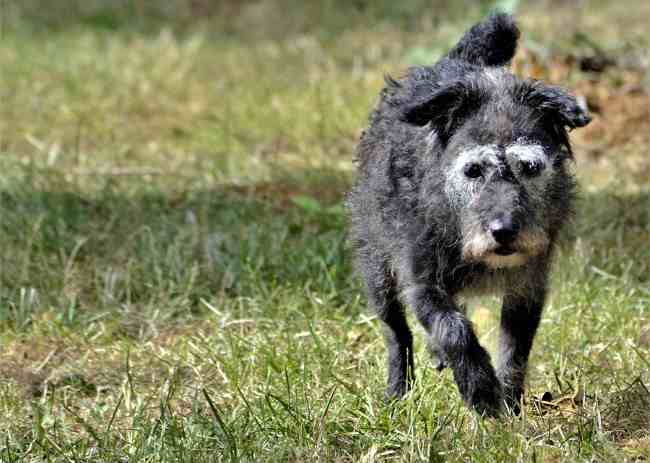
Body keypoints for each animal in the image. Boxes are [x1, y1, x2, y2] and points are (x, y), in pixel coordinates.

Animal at [346, 11, 588, 416]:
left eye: (529, 167)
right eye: (474, 170)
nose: (504, 231)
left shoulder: (528, 287)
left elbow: (514, 352)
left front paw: (511, 406)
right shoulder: (422, 282)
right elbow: (453, 329)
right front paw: (480, 389)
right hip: (378, 271)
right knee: (397, 332)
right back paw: (398, 390)